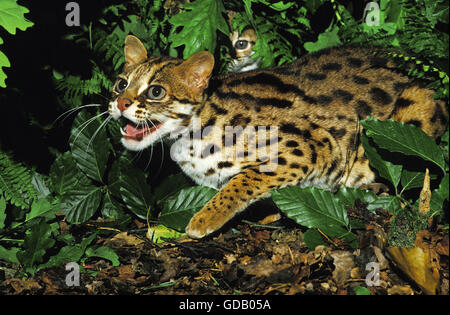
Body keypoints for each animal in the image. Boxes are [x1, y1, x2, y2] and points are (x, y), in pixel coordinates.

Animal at [108, 35, 446, 239]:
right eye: (121, 84)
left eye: (156, 92)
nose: (120, 103)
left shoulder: (313, 148)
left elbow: (242, 181)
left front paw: (205, 217)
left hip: (417, 105)